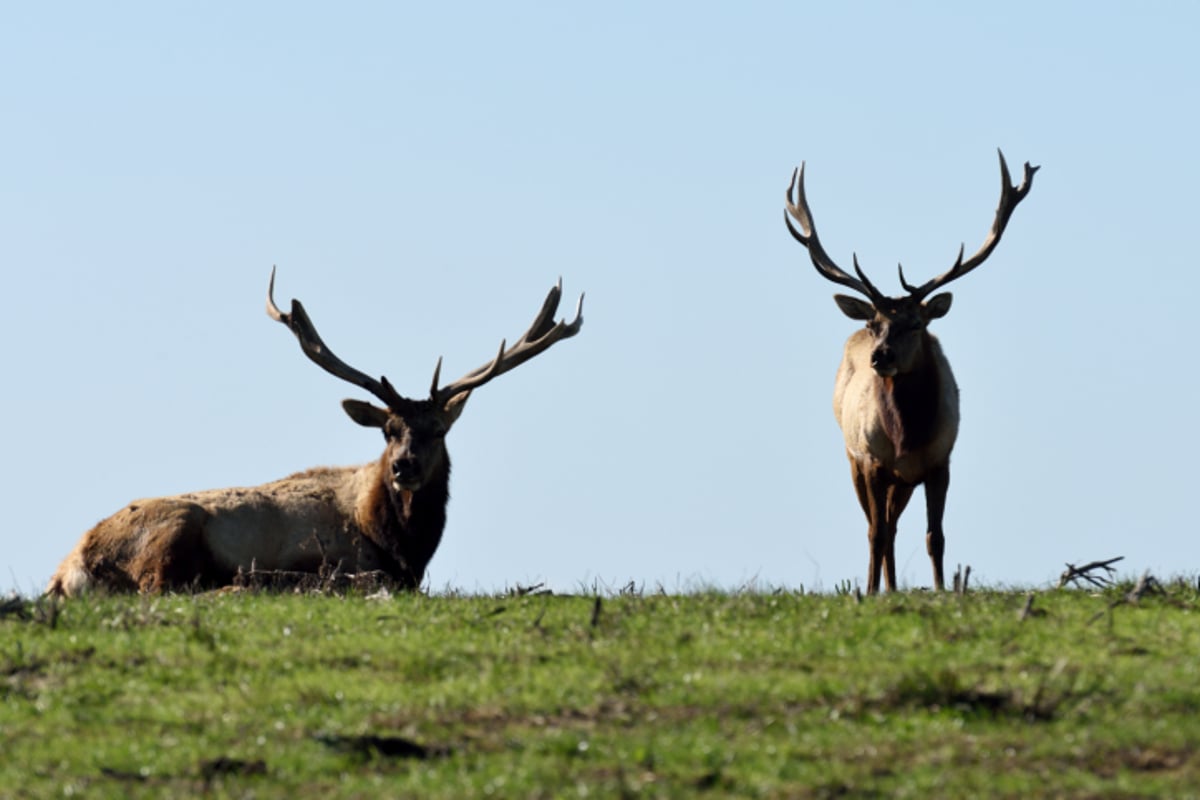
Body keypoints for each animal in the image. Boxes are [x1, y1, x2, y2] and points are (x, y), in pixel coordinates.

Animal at [49, 268, 583, 594]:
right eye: (388, 430)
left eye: (438, 430)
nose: (404, 466)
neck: (402, 543)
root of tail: (68, 571)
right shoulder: (336, 556)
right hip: (173, 532)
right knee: (165, 588)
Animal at [782, 151, 1036, 594]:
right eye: (874, 323)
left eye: (916, 323)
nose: (880, 356)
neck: (907, 437)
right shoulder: (872, 463)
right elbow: (875, 534)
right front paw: (869, 593)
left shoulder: (940, 462)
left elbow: (936, 536)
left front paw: (941, 590)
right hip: (855, 461)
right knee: (880, 528)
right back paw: (883, 587)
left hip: (901, 483)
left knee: (895, 527)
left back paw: (894, 586)